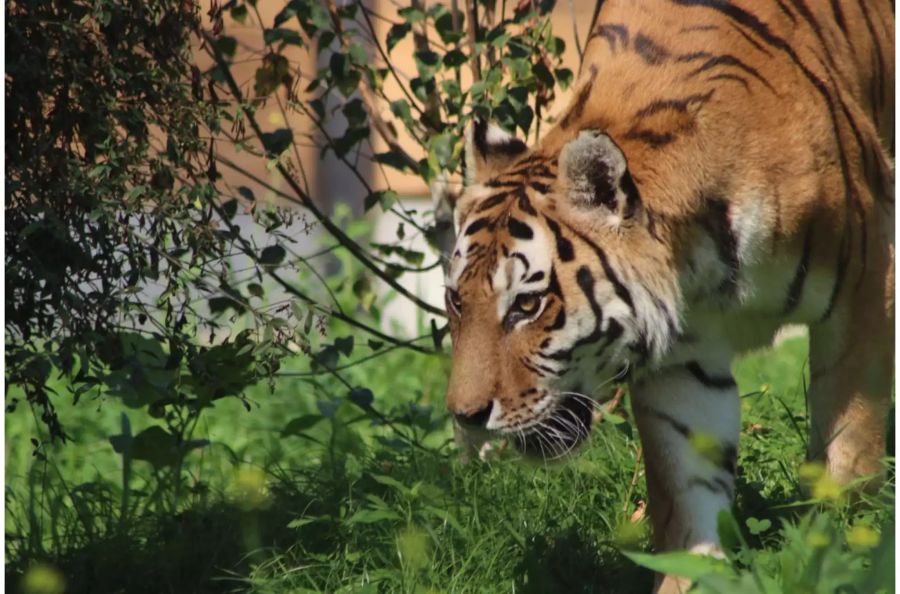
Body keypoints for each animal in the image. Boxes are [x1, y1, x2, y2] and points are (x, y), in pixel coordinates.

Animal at [442, 2, 892, 588]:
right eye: (456, 301)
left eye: (526, 304)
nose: (465, 416)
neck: (699, 265)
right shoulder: (683, 358)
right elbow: (689, 486)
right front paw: (692, 578)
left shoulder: (864, 288)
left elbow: (847, 452)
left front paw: (842, 554)